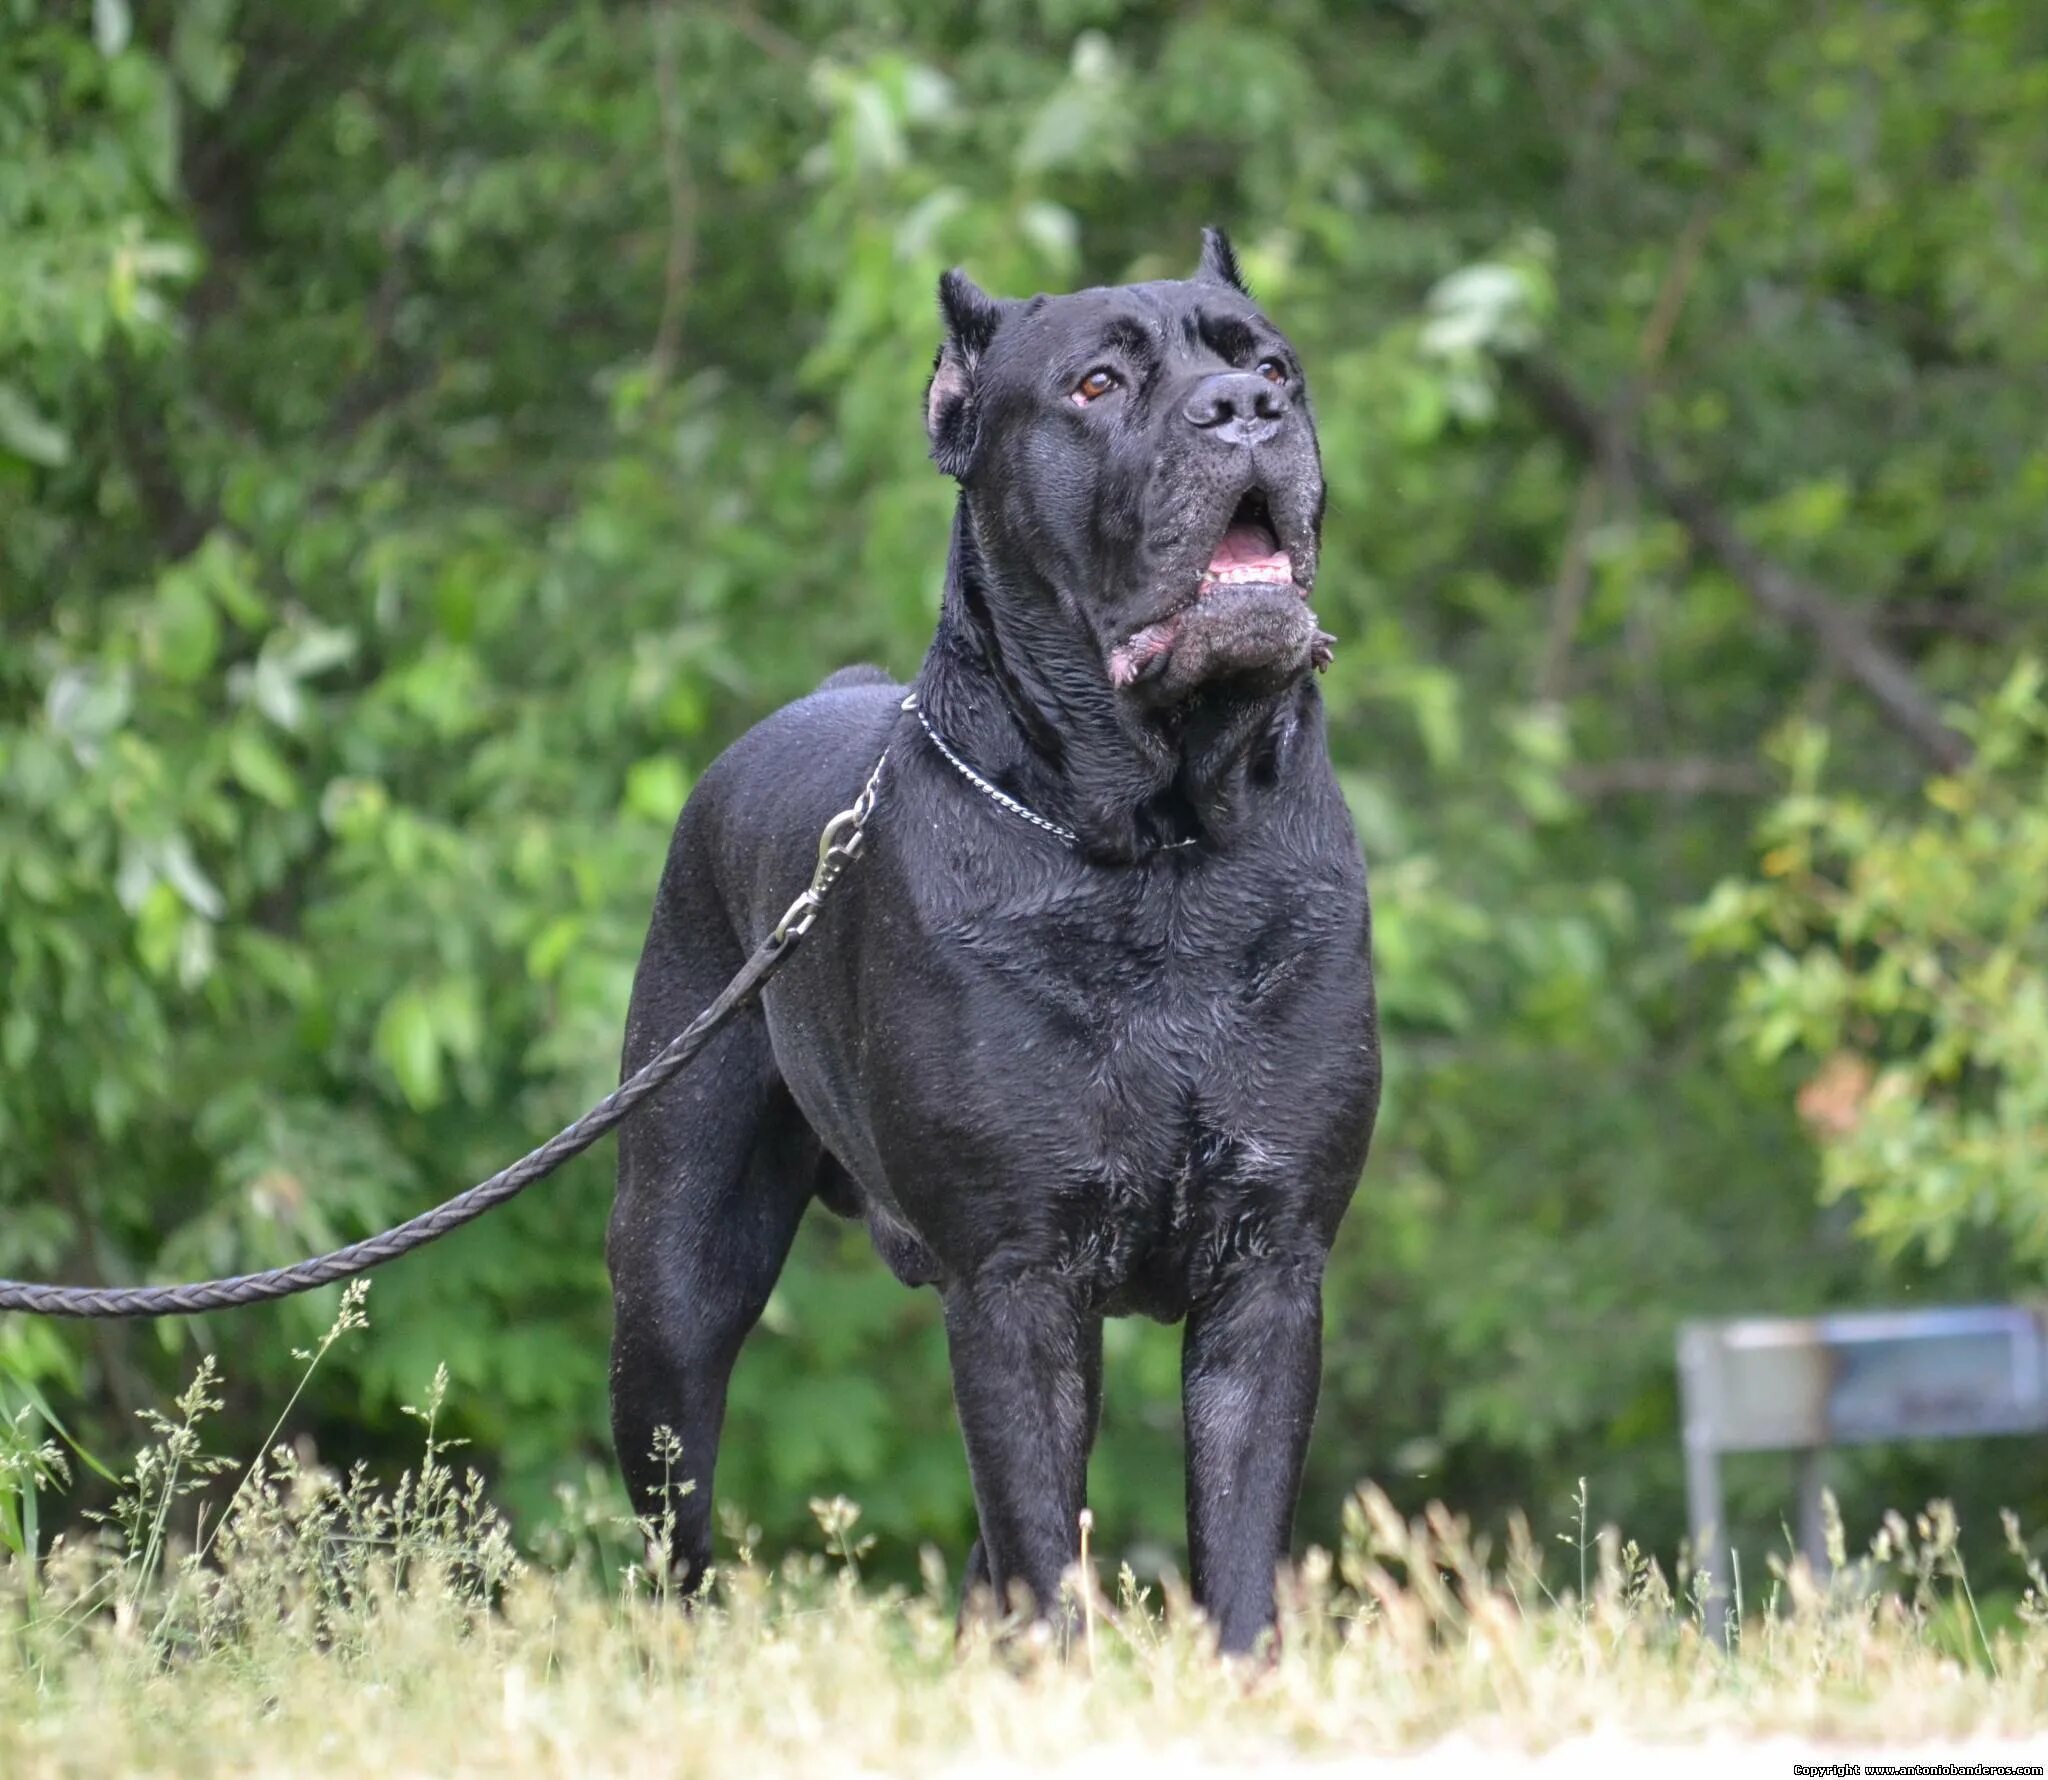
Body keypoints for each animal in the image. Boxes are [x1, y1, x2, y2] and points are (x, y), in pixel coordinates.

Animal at [606, 232, 1376, 1655]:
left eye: (1271, 364)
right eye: (1094, 384)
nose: (1245, 411)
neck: (1160, 847)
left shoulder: (1268, 1267)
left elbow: (1232, 1550)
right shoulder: (1016, 1277)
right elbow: (1037, 1548)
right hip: (673, 1275)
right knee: (673, 1528)